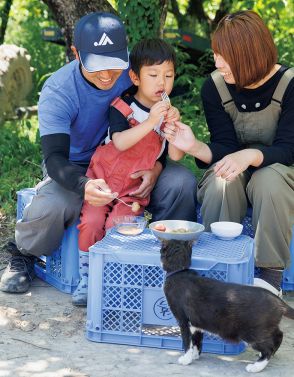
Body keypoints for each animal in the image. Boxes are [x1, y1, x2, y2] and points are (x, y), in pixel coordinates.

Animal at [160, 239, 294, 372]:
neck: (180, 271)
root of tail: (278, 301)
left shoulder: (183, 320)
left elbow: (187, 340)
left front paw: (186, 359)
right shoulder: (196, 322)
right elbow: (197, 339)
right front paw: (195, 355)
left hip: (252, 332)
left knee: (268, 348)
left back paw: (256, 366)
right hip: (267, 327)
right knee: (278, 336)